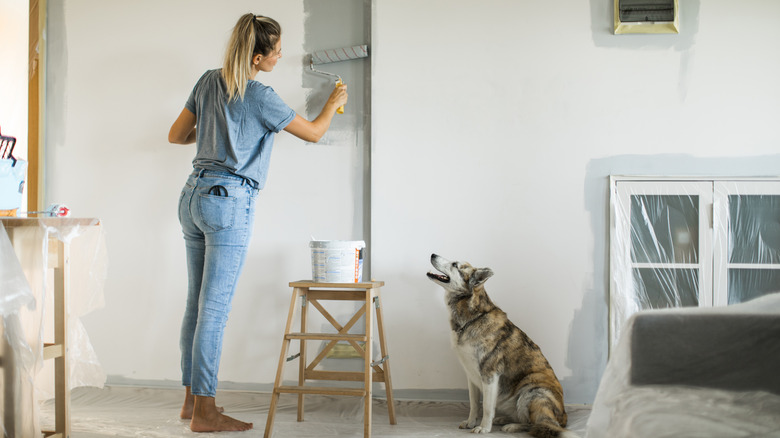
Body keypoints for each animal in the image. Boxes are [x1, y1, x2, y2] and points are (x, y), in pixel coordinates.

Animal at [426, 255, 572, 436]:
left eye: (455, 265)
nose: (432, 254)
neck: (472, 318)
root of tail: (565, 417)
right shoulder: (471, 376)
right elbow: (474, 404)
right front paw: (470, 422)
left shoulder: (490, 375)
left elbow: (487, 407)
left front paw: (483, 428)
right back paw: (504, 420)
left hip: (532, 391)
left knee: (541, 424)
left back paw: (512, 426)